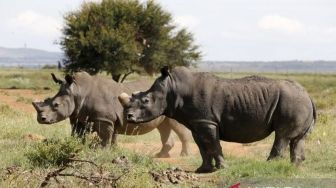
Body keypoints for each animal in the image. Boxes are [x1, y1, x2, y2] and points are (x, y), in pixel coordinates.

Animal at [32, 71, 190, 157]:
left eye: (56, 105)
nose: (41, 119)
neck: (77, 91)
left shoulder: (104, 119)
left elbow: (106, 137)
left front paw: (102, 152)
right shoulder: (80, 118)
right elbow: (78, 136)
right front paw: (76, 149)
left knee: (175, 125)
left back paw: (183, 155)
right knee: (163, 126)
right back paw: (161, 155)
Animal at [119, 66, 316, 173]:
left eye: (146, 100)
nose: (129, 116)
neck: (173, 89)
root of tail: (308, 95)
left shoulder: (207, 122)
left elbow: (213, 144)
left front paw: (222, 168)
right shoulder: (197, 122)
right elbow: (202, 146)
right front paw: (203, 169)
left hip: (293, 101)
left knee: (282, 136)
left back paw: (268, 167)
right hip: (298, 102)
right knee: (297, 139)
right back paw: (295, 168)